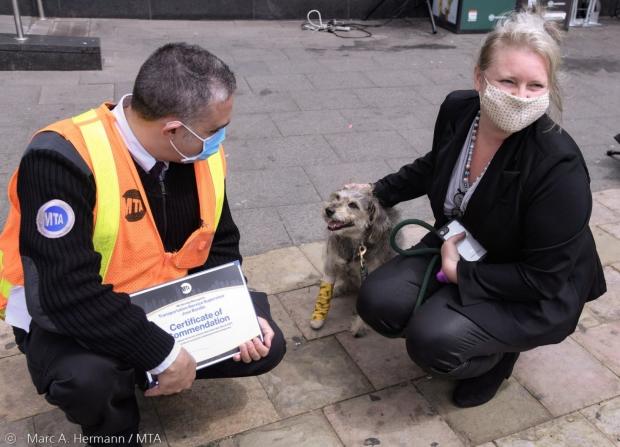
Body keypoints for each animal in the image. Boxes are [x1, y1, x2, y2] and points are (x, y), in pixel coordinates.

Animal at [310, 185, 402, 336]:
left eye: (353, 205)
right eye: (337, 197)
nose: (328, 210)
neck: (353, 242)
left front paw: (359, 326)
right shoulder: (331, 264)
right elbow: (325, 292)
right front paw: (318, 317)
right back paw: (339, 288)